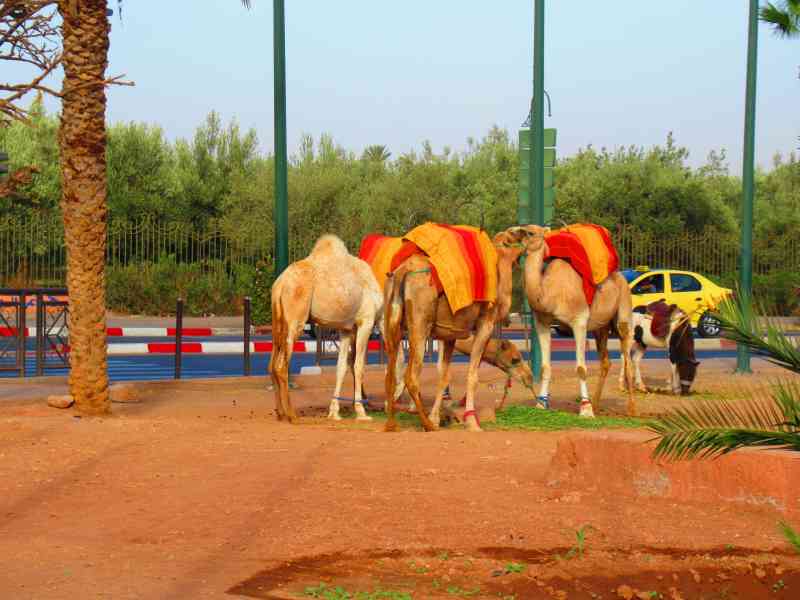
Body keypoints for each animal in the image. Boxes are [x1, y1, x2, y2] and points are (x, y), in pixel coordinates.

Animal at [382, 226, 528, 432]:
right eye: (516, 359)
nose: (528, 378)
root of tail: (403, 271)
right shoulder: (486, 324)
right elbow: (473, 375)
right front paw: (472, 422)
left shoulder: (449, 334)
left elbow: (444, 375)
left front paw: (437, 417)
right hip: (419, 323)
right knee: (411, 376)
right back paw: (427, 425)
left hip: (392, 321)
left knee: (390, 374)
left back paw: (393, 424)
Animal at [520, 225, 636, 418]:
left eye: (530, 232)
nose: (510, 235)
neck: (550, 293)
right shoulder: (542, 322)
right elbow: (545, 367)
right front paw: (541, 404)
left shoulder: (579, 321)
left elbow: (581, 368)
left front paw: (585, 410)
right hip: (600, 327)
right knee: (605, 361)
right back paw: (596, 404)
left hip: (624, 310)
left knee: (628, 358)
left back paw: (631, 409)